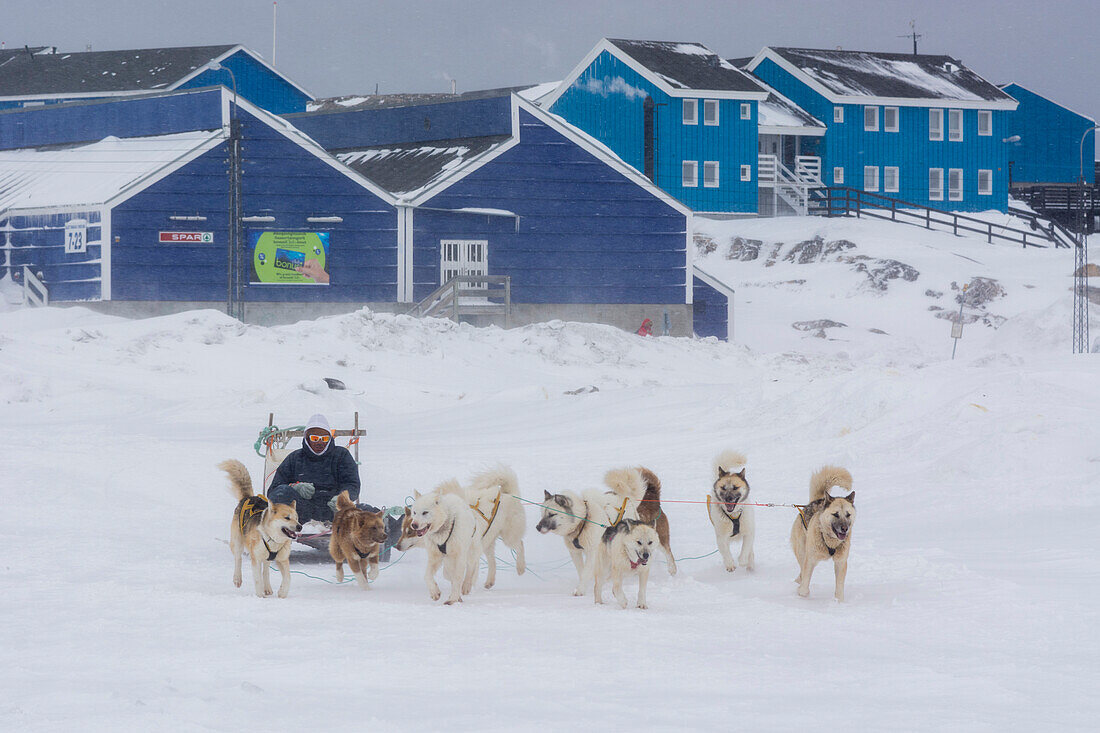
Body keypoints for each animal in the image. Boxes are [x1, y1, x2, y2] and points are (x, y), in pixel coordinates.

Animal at [792, 462, 858, 598]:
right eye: (836, 514)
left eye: (848, 514)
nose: (845, 528)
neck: (830, 541)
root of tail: (816, 501)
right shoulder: (810, 559)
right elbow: (804, 586)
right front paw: (802, 593)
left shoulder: (841, 562)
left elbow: (839, 588)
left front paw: (839, 601)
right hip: (802, 551)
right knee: (801, 570)